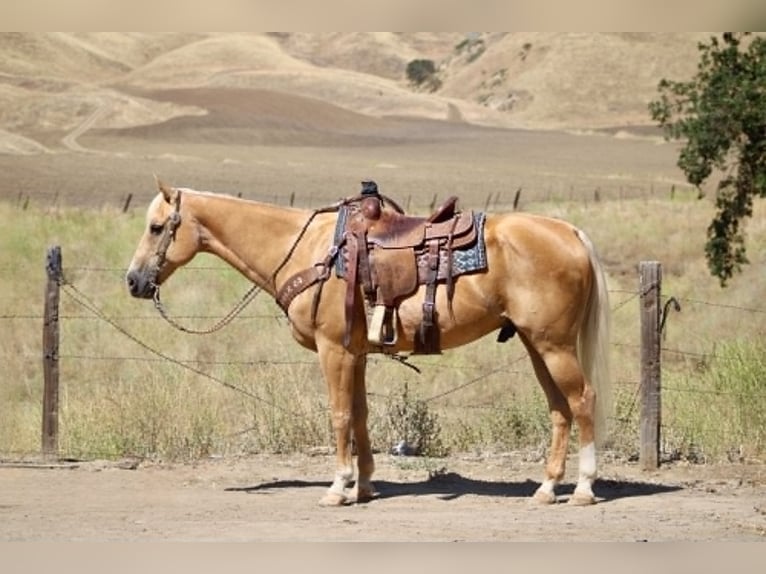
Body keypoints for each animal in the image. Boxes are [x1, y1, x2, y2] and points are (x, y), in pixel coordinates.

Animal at [126, 179, 613, 506]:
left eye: (156, 227)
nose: (133, 281)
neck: (307, 251)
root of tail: (569, 232)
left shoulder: (334, 351)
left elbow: (340, 415)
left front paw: (338, 487)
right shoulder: (356, 354)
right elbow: (360, 415)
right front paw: (363, 486)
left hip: (554, 346)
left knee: (583, 399)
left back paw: (584, 488)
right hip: (536, 344)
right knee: (559, 408)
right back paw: (546, 488)